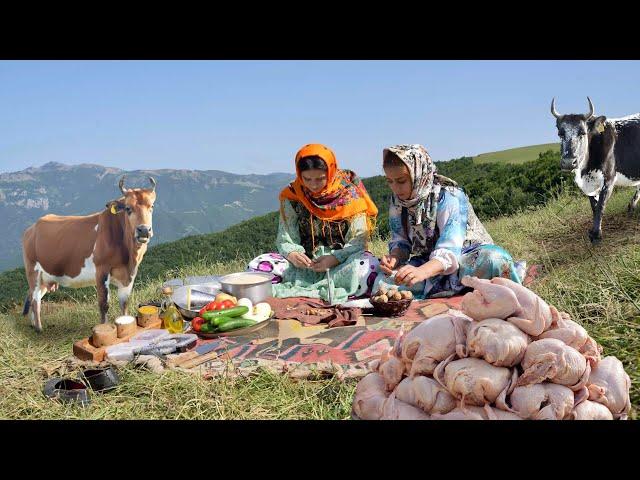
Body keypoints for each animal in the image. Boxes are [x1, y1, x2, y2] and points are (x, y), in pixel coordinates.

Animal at [23, 175, 158, 330]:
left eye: (151, 206)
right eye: (128, 208)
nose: (144, 230)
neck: (129, 256)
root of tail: (31, 229)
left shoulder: (129, 274)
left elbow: (124, 303)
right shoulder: (101, 270)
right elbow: (104, 304)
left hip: (46, 277)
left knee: (33, 296)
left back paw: (33, 324)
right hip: (32, 270)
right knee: (35, 299)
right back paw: (39, 328)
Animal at [552, 96, 640, 242]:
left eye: (582, 133)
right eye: (561, 134)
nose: (569, 162)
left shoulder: (609, 179)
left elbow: (600, 206)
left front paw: (597, 235)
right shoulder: (588, 185)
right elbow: (593, 206)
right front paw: (594, 230)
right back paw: (631, 207)